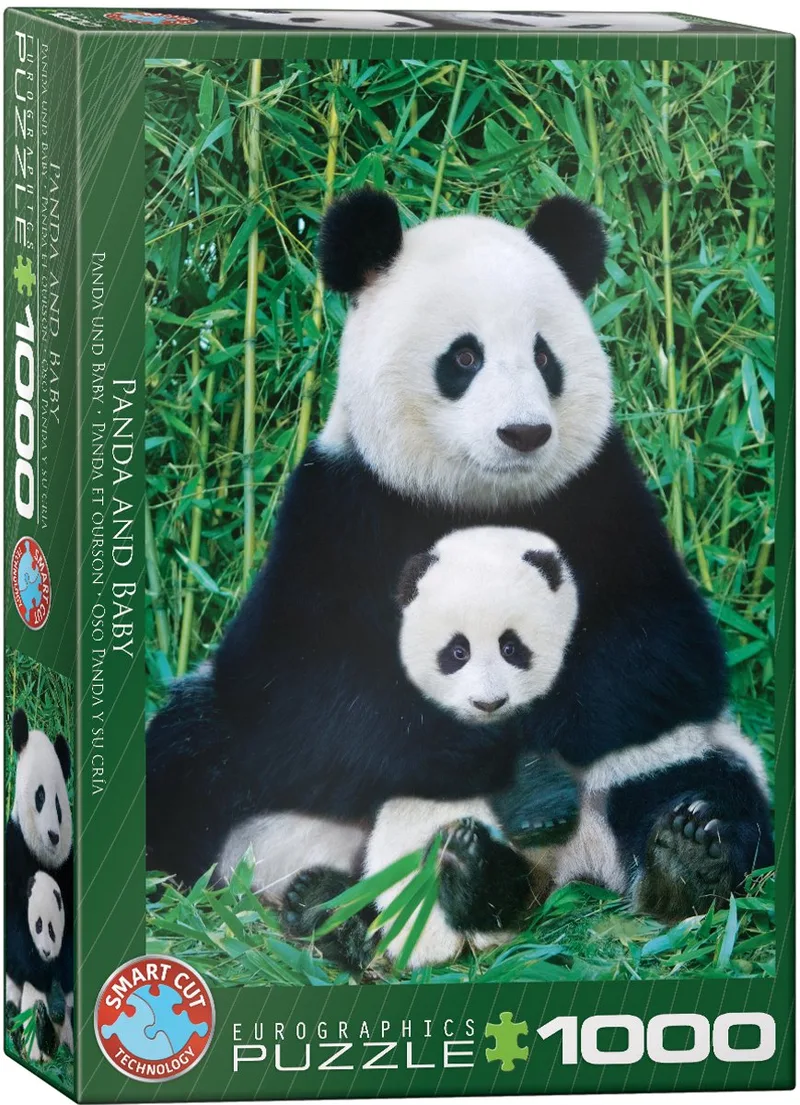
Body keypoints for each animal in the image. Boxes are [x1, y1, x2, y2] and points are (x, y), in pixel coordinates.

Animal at [146, 188, 771, 962]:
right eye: (465, 356)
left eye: (544, 356)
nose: (525, 433)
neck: (477, 498)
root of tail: (562, 870)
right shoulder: (339, 509)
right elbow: (302, 688)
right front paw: (498, 759)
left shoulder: (603, 496)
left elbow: (662, 652)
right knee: (187, 758)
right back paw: (336, 904)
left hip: (673, 754)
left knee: (707, 783)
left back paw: (679, 857)